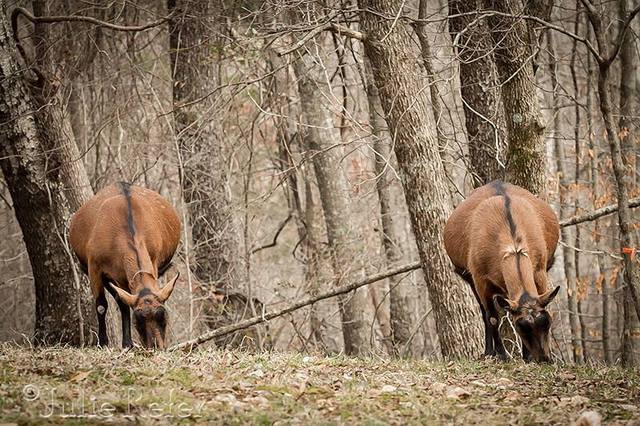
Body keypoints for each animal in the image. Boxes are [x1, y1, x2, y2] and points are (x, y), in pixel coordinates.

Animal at [69, 183, 180, 350]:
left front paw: (127, 343)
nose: (156, 347)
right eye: (138, 322)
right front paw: (104, 343)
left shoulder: (150, 263)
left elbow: (123, 303)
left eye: (163, 317)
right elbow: (102, 305)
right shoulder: (95, 269)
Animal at [444, 181, 560, 362]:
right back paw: (488, 352)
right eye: (521, 327)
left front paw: (527, 357)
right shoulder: (480, 279)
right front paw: (502, 355)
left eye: (546, 322)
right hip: (470, 278)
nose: (544, 358)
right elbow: (492, 318)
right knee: (484, 312)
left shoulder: (540, 270)